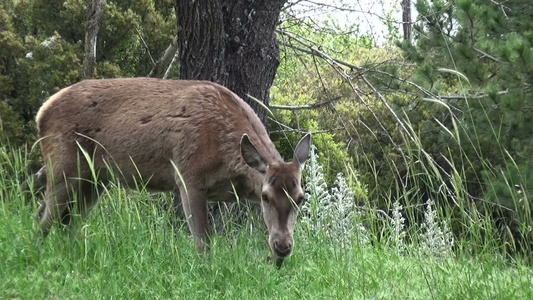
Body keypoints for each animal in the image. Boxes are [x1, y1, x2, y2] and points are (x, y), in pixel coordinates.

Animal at [35, 78, 310, 268]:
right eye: (265, 196)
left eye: (300, 198)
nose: (283, 247)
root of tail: (41, 112)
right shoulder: (189, 177)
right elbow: (202, 242)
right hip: (62, 165)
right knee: (44, 219)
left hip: (95, 180)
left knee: (68, 223)